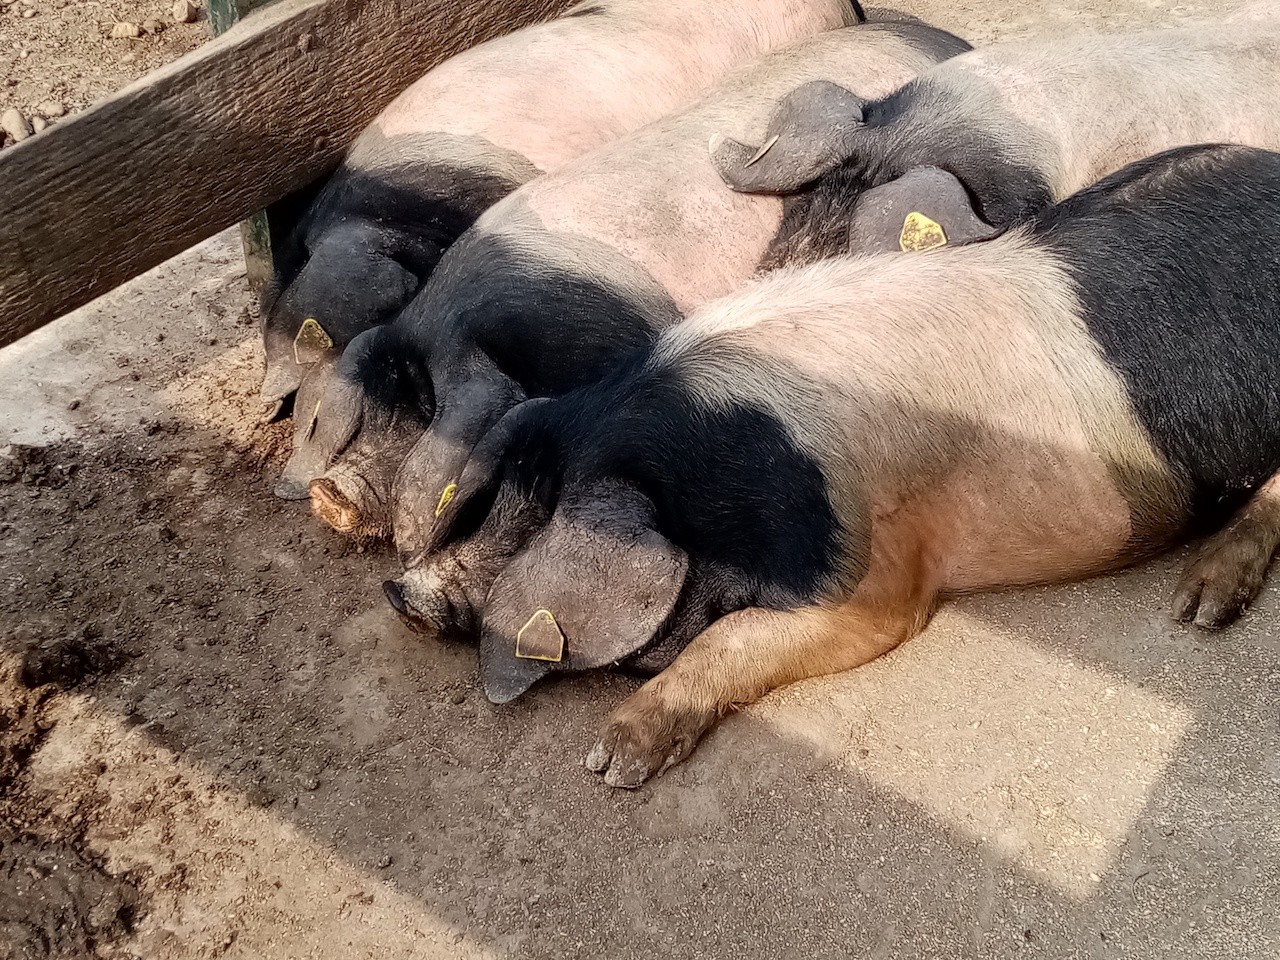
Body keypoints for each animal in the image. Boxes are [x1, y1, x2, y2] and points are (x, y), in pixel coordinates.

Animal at [419, 144, 1280, 788]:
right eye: (492, 503)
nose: (403, 594)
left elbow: (738, 638)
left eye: (533, 517)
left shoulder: (875, 575)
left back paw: (1197, 606)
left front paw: (611, 761)